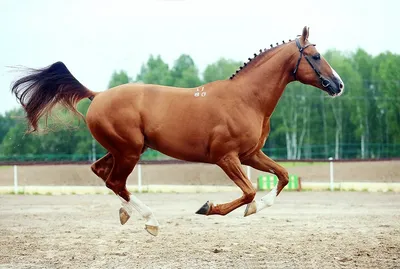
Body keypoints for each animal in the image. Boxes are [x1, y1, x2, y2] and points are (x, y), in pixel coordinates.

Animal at [11, 25, 344, 234]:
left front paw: (254, 209)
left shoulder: (251, 155)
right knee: (115, 181)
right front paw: (208, 207)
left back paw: (126, 213)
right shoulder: (226, 158)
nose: (338, 85)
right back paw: (150, 221)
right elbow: (249, 191)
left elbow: (283, 176)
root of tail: (98, 95)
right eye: (315, 56)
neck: (246, 100)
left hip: (124, 149)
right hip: (129, 151)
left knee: (102, 173)